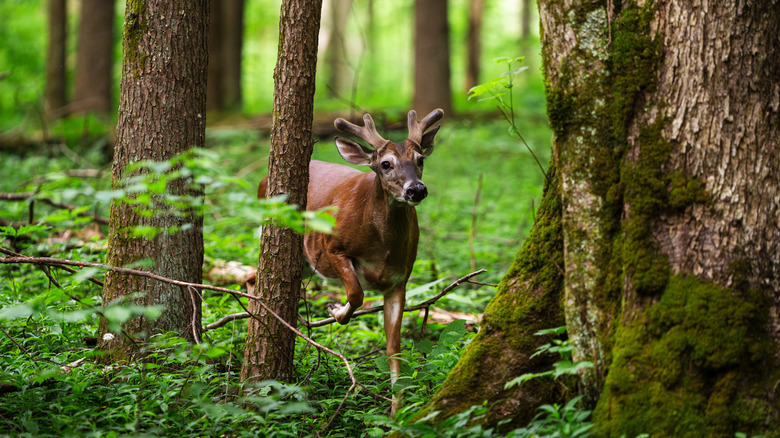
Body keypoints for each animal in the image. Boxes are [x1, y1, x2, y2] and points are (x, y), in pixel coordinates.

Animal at [257, 108, 444, 414]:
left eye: (420, 159)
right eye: (385, 164)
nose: (416, 190)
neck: (383, 249)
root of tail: (264, 181)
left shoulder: (400, 279)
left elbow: (394, 348)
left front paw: (397, 409)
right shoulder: (333, 247)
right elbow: (356, 293)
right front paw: (335, 311)